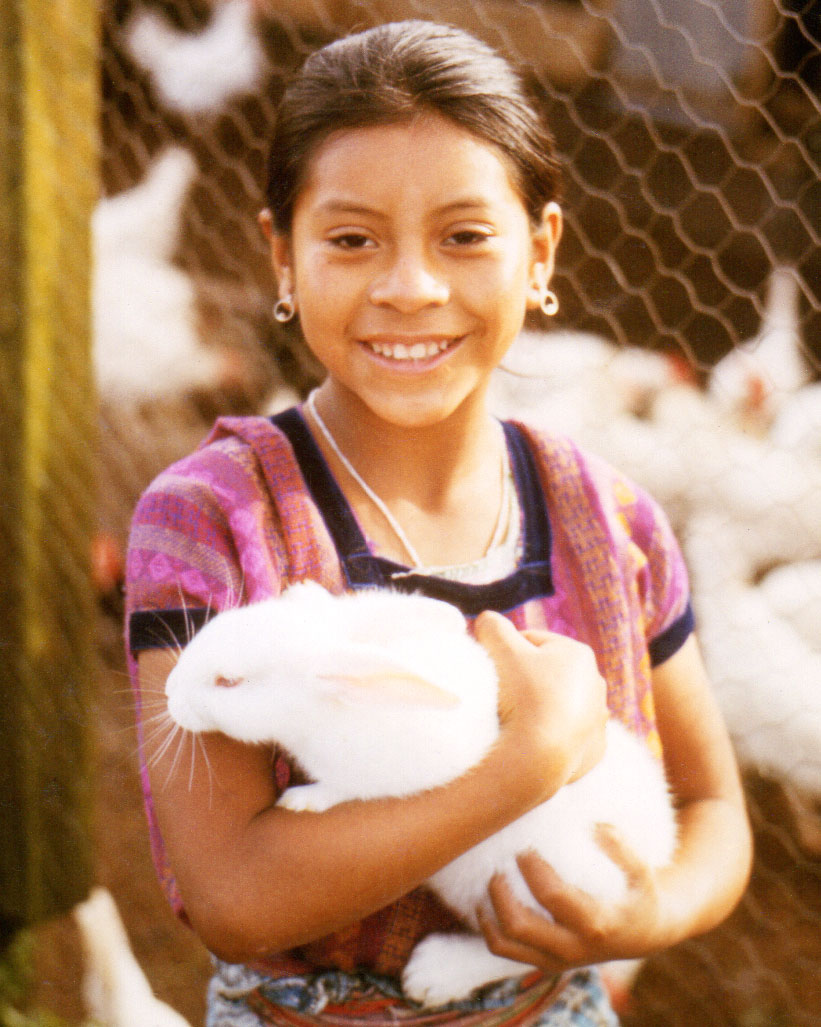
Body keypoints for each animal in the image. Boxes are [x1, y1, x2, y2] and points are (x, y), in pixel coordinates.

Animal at [164, 581, 678, 1008]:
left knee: (529, 954)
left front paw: (301, 800)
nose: (168, 693)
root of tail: (655, 861)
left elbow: (342, 789)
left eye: (229, 682)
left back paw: (432, 975)